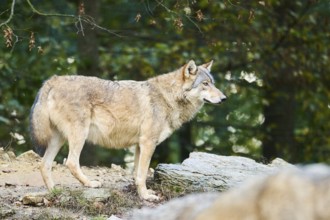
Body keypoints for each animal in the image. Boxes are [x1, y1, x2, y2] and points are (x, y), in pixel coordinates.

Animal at [29, 59, 227, 200]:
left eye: (213, 83)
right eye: (205, 84)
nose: (224, 98)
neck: (169, 97)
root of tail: (54, 79)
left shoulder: (139, 145)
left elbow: (137, 174)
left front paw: (139, 193)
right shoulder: (148, 143)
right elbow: (142, 174)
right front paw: (146, 196)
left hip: (59, 139)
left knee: (44, 165)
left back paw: (54, 193)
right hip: (79, 135)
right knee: (70, 162)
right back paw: (90, 184)